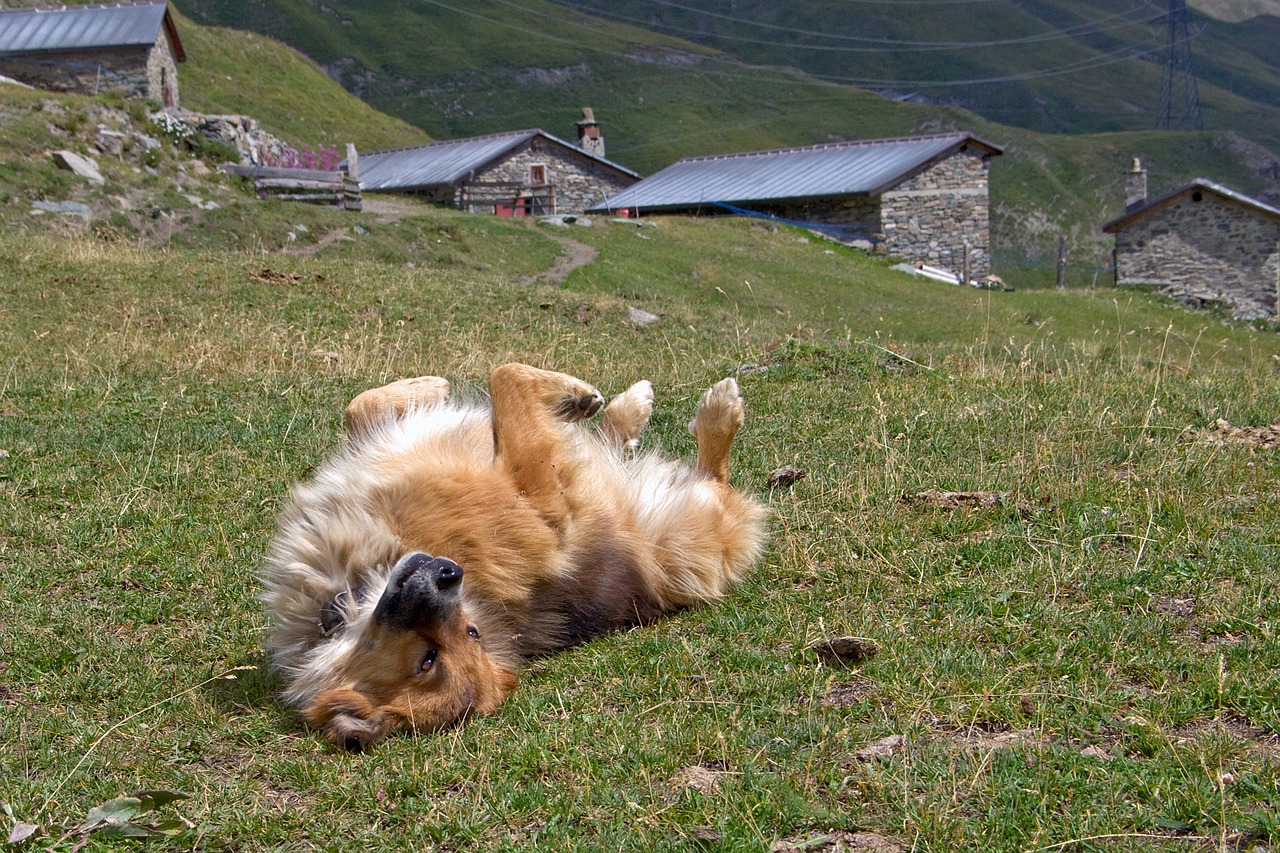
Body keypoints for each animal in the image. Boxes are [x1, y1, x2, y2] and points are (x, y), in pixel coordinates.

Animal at [257, 361, 757, 747]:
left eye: (471, 632)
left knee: (677, 464)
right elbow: (503, 383)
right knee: (705, 475)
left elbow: (493, 380)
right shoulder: (532, 490)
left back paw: (646, 408)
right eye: (428, 659)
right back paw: (698, 410)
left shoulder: (532, 491)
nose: (449, 572)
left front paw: (429, 387)